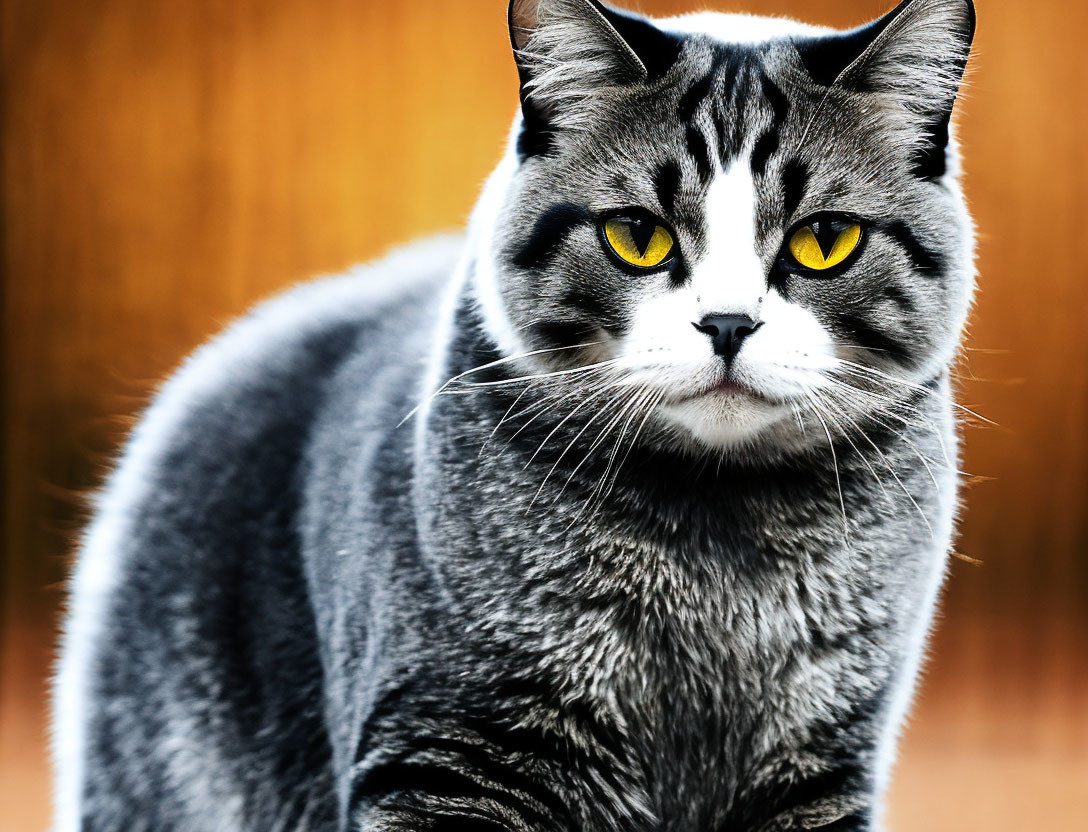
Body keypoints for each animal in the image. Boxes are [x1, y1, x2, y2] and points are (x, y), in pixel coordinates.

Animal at [53, 0, 979, 826]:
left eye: (825, 241)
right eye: (636, 234)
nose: (726, 323)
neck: (713, 546)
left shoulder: (822, 757)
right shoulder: (454, 741)